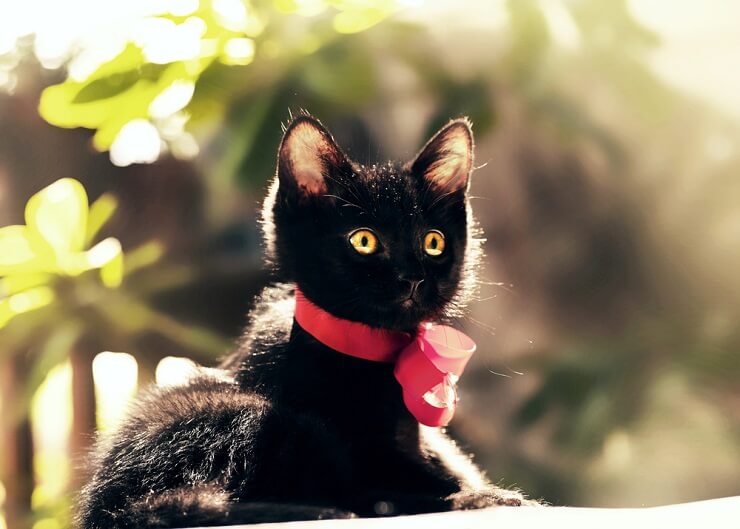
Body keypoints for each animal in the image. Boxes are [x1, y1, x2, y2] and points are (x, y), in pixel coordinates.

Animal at [76, 113, 536, 524]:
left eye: (433, 242)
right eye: (364, 240)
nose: (413, 278)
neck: (371, 355)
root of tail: (109, 510)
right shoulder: (375, 461)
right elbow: (402, 487)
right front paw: (482, 496)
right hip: (251, 414)